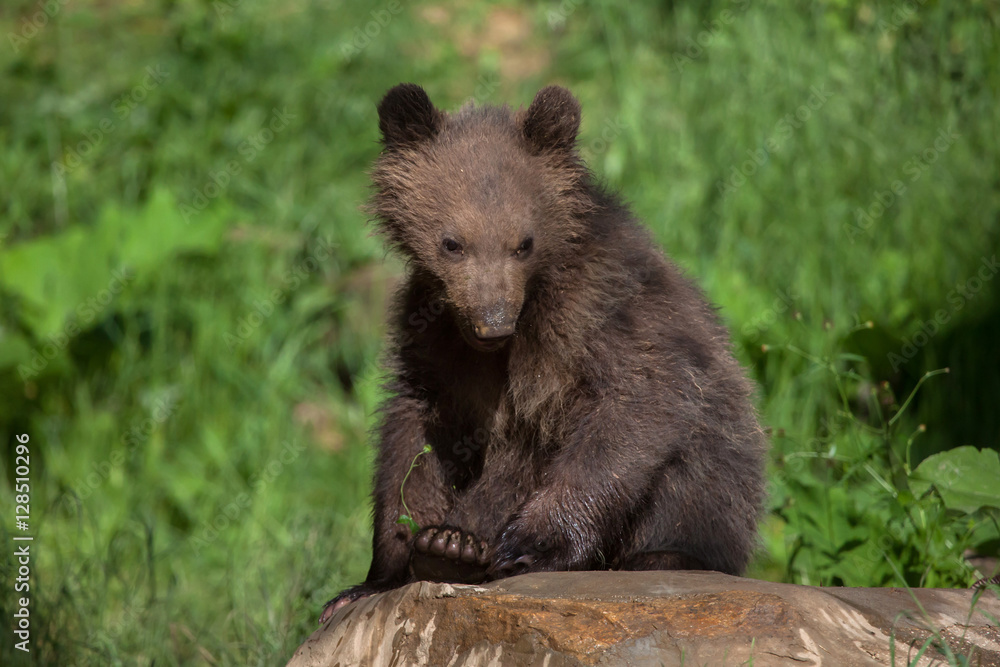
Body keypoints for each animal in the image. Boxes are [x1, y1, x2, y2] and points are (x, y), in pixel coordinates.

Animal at [319, 83, 767, 624]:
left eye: (523, 243)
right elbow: (413, 443)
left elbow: (636, 409)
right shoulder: (432, 340)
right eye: (452, 243)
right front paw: (392, 563)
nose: (493, 322)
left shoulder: (602, 317)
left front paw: (526, 544)